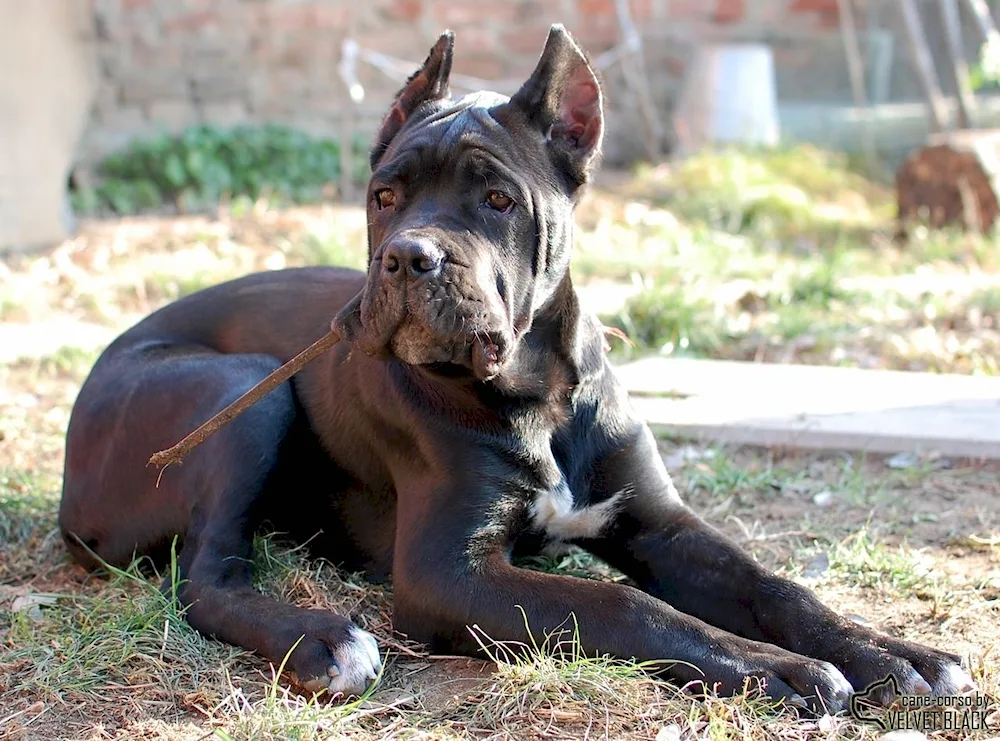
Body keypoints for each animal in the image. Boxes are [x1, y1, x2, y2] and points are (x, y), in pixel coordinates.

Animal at [58, 26, 972, 708]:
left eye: (497, 200)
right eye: (384, 196)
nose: (408, 258)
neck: (542, 389)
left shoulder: (660, 524)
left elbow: (774, 584)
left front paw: (892, 652)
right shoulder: (448, 572)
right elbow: (624, 603)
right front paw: (775, 668)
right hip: (240, 388)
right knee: (204, 575)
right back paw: (323, 640)